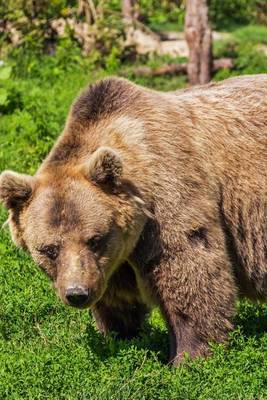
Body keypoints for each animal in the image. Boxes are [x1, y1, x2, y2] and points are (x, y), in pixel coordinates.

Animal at [0, 75, 267, 366]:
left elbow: (189, 270)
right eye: (49, 249)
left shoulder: (170, 198)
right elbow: (118, 297)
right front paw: (120, 336)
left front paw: (189, 356)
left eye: (94, 240)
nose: (77, 293)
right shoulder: (115, 260)